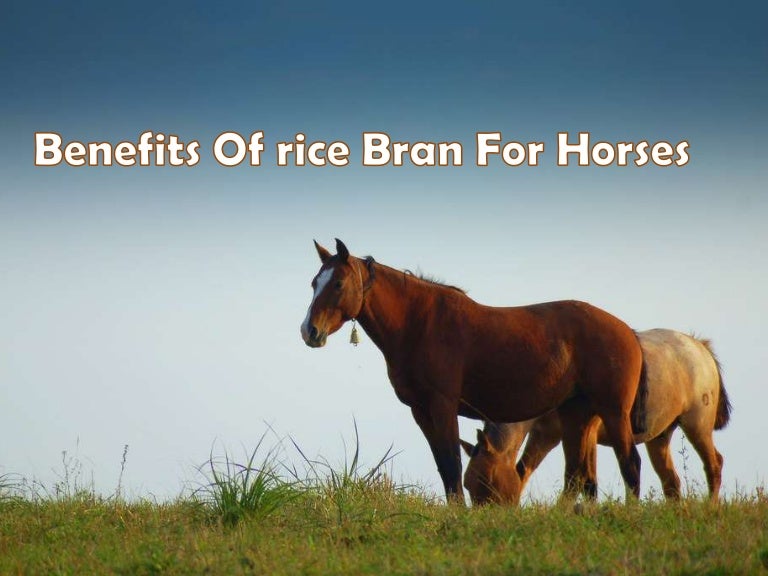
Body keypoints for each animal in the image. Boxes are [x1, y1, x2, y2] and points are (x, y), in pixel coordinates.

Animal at [301, 239, 648, 503]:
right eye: (314, 283)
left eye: (338, 283)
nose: (309, 331)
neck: (419, 324)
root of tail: (628, 333)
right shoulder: (421, 411)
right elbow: (444, 467)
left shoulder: (443, 406)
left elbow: (452, 464)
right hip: (578, 413)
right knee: (582, 475)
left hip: (613, 411)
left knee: (629, 462)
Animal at [461, 329, 732, 505]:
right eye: (467, 483)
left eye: (486, 479)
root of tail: (700, 346)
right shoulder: (545, 435)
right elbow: (525, 469)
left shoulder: (582, 431)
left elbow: (582, 476)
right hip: (659, 438)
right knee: (672, 483)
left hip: (696, 426)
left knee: (714, 464)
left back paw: (711, 506)